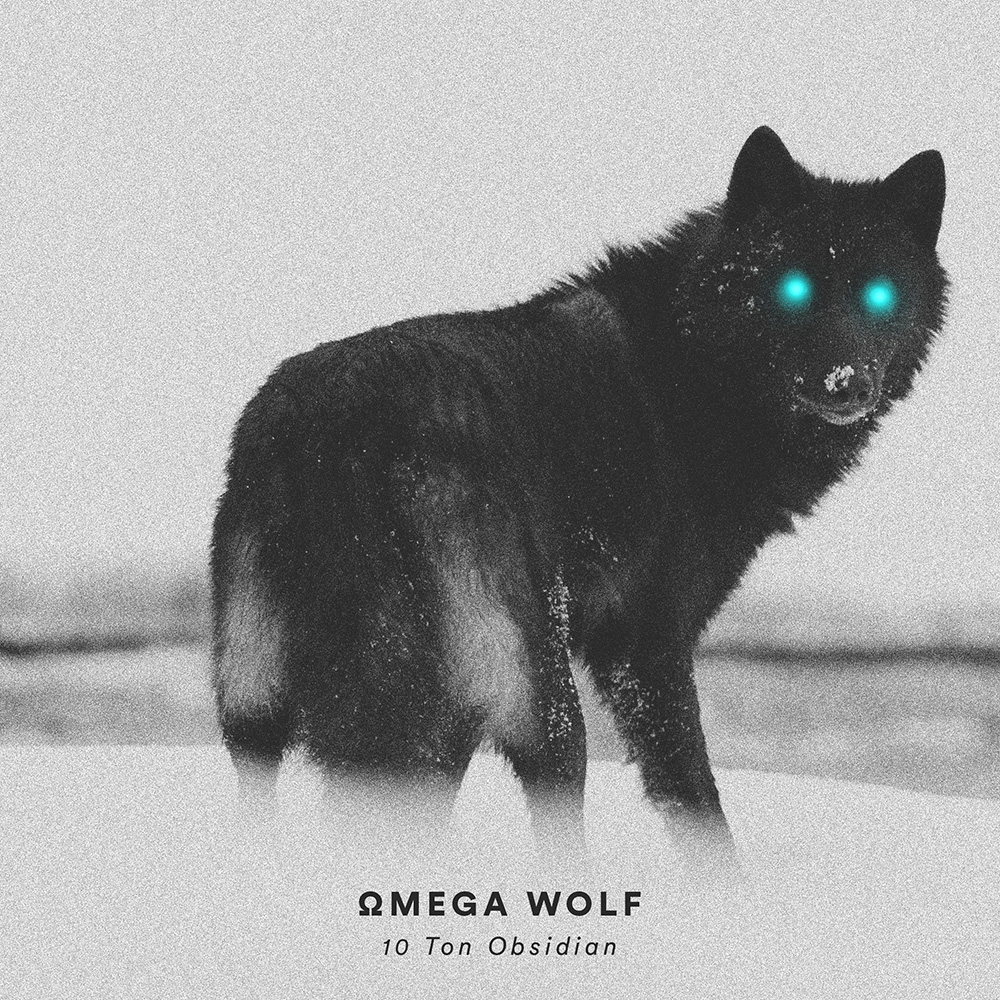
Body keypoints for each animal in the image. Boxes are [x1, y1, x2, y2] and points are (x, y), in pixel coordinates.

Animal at [210, 126, 947, 868]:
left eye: (879, 295)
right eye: (792, 288)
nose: (846, 383)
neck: (693, 370)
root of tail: (335, 436)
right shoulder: (646, 647)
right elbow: (696, 806)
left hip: (261, 705)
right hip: (538, 695)